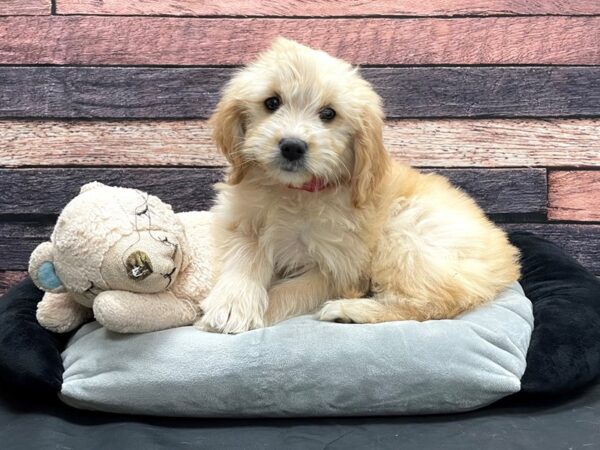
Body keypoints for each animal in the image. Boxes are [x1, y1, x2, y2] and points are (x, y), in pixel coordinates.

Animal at [197, 38, 520, 334]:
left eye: (328, 114)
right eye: (272, 102)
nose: (292, 146)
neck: (294, 191)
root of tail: (505, 256)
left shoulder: (338, 268)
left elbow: (291, 291)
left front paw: (246, 312)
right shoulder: (240, 219)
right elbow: (245, 254)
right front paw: (232, 303)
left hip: (407, 235)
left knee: (432, 304)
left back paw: (351, 310)